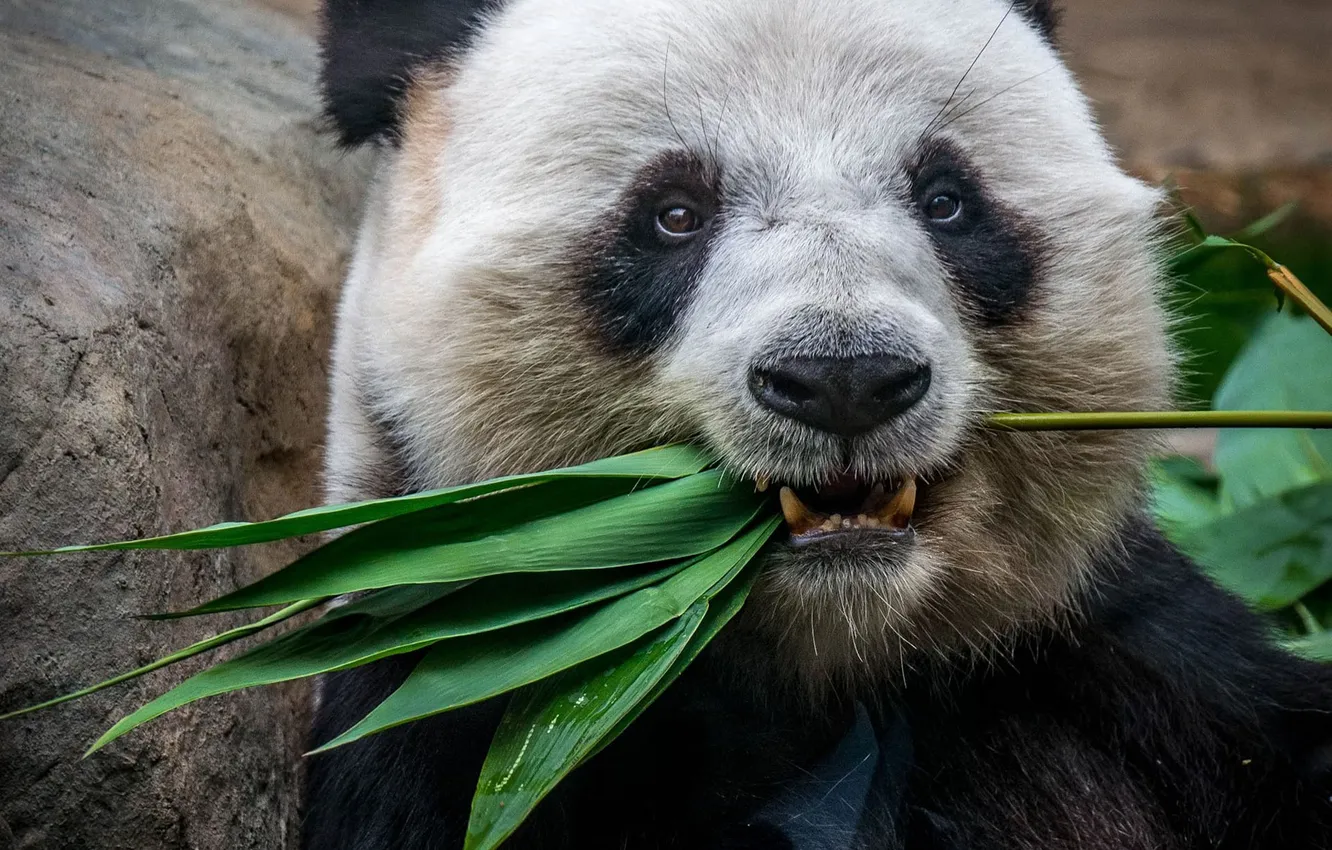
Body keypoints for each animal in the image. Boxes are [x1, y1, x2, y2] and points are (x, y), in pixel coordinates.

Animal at [305, 0, 1332, 847]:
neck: (830, 651)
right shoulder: (468, 690)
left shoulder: (1112, 648)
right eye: (674, 212)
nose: (846, 379)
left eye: (946, 200)